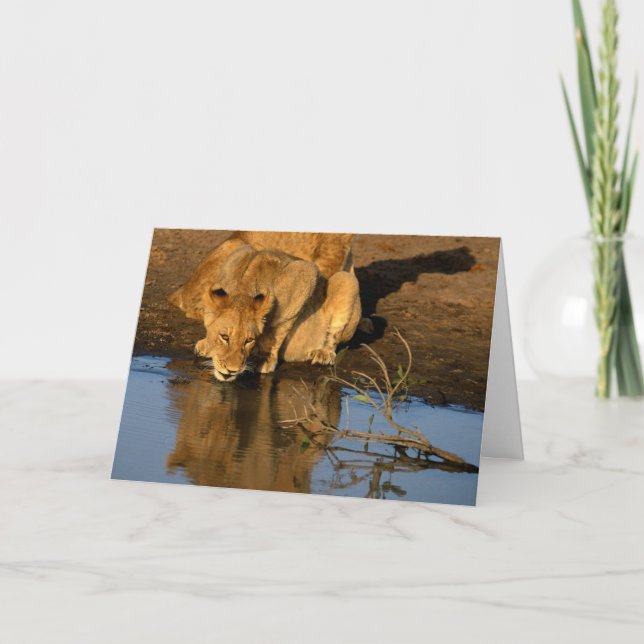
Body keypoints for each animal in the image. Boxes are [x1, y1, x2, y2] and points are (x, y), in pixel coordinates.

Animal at [169, 232, 361, 382]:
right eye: (224, 337)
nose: (231, 370)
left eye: (249, 340)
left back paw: (323, 353)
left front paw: (265, 358)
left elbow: (279, 327)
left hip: (346, 281)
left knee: (333, 336)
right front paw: (207, 345)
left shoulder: (305, 273)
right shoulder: (237, 255)